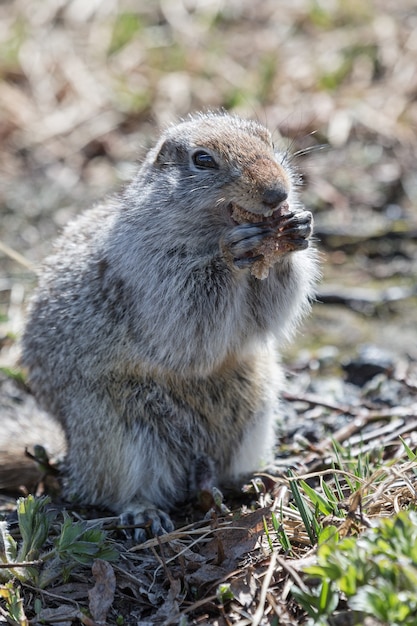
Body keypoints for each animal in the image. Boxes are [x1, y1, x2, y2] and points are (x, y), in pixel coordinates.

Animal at [15, 111, 318, 536]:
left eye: (267, 140)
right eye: (203, 160)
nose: (277, 192)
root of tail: (69, 454)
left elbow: (269, 308)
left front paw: (298, 227)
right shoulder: (151, 270)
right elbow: (186, 317)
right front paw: (232, 251)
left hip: (256, 410)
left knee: (224, 471)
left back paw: (255, 475)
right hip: (115, 435)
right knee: (110, 490)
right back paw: (143, 511)